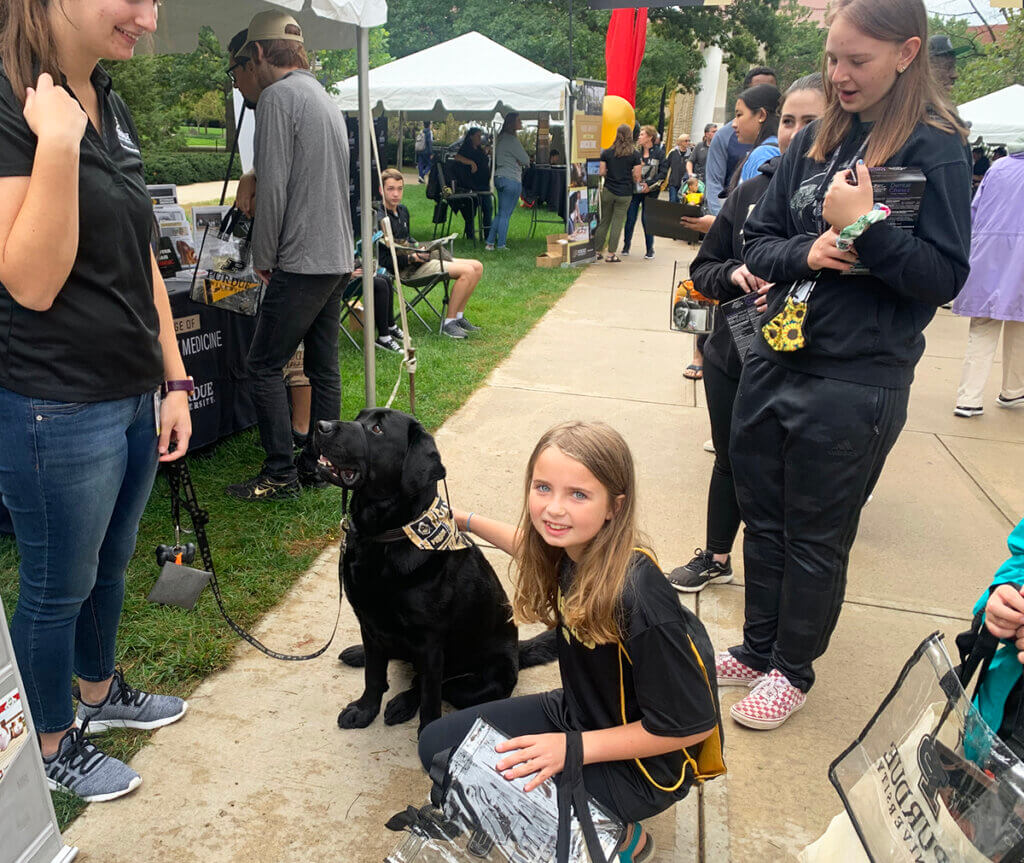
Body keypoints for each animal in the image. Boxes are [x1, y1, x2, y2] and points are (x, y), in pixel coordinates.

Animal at [315, 407, 557, 732]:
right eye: (358, 417)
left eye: (377, 429)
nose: (321, 426)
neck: (386, 537)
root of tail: (517, 653)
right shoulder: (368, 620)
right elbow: (374, 675)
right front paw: (365, 710)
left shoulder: (429, 643)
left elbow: (430, 696)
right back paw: (359, 654)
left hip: (476, 684)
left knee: (437, 684)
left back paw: (404, 703)